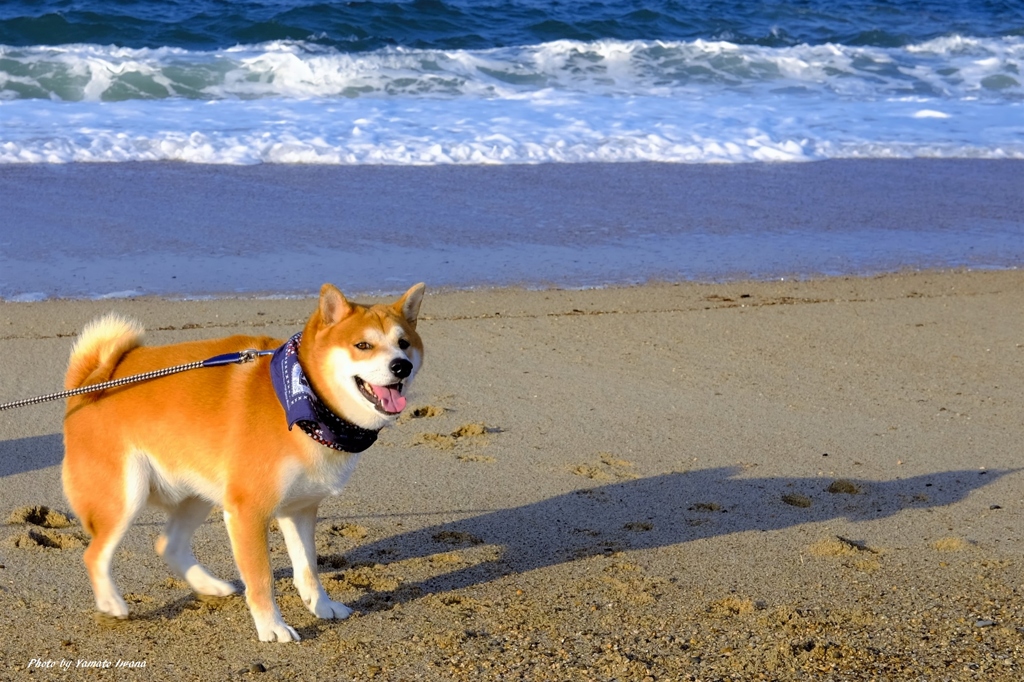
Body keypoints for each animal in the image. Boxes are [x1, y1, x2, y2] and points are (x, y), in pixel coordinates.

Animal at [62, 280, 423, 638]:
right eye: (363, 345)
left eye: (403, 343)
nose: (401, 366)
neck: (306, 403)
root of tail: (89, 382)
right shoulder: (250, 512)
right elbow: (262, 579)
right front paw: (272, 627)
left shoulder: (299, 509)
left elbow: (309, 568)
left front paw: (321, 606)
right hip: (126, 496)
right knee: (94, 554)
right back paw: (111, 602)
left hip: (200, 494)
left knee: (168, 544)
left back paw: (208, 585)